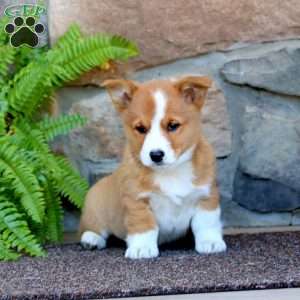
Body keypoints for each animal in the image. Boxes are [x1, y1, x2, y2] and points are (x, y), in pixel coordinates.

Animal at [78, 76, 226, 258]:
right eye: (141, 128)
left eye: (173, 125)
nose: (156, 155)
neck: (171, 172)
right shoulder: (137, 201)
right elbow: (144, 225)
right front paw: (142, 248)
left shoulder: (206, 196)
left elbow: (206, 224)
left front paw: (210, 242)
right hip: (96, 208)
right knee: (92, 228)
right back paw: (91, 239)